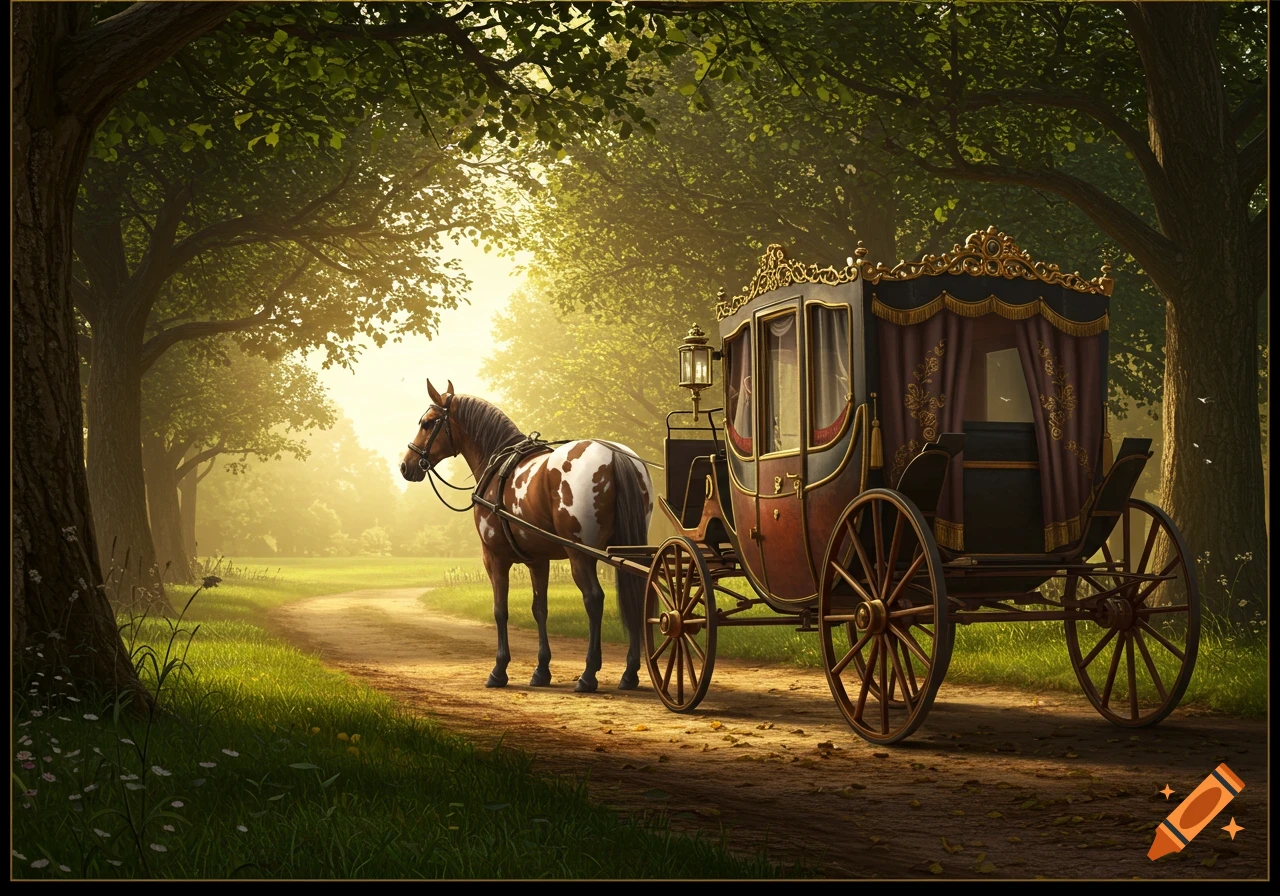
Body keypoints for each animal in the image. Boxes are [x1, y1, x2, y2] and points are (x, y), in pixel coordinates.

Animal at [400, 380, 653, 693]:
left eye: (428, 423)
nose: (406, 465)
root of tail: (613, 454)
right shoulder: (538, 561)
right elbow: (539, 609)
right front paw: (541, 670)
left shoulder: (494, 558)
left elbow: (500, 610)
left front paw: (499, 670)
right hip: (630, 549)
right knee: (637, 597)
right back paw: (629, 673)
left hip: (580, 554)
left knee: (594, 600)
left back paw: (588, 674)